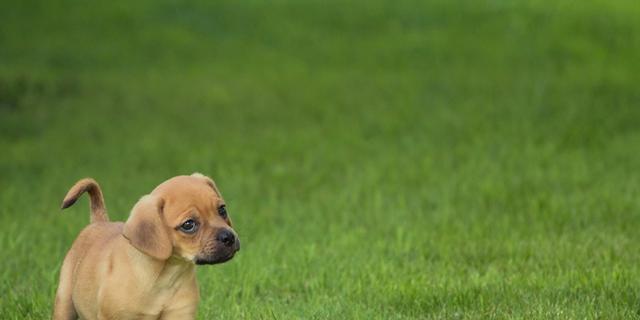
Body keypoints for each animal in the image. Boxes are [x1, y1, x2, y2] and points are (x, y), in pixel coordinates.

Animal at [53, 175, 240, 320]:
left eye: (222, 210)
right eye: (189, 225)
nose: (229, 237)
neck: (165, 276)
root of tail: (99, 222)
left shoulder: (180, 314)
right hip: (65, 302)